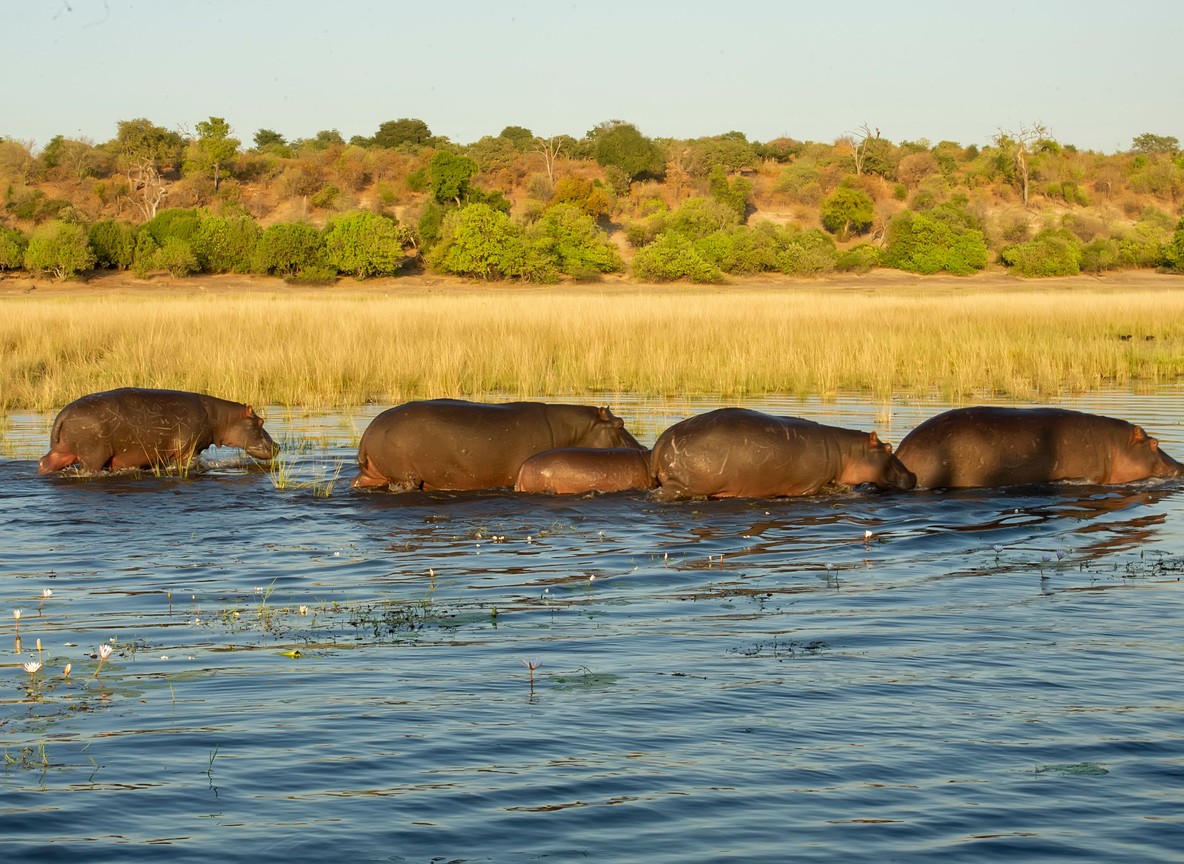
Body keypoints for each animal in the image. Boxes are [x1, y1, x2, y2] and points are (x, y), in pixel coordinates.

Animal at [38, 388, 280, 475]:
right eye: (260, 422)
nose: (277, 446)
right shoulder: (188, 451)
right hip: (93, 455)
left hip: (63, 452)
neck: (222, 418)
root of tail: (62, 414)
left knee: (44, 462)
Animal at [650, 407, 915, 499]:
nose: (913, 475)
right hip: (683, 485)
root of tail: (660, 442)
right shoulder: (811, 485)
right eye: (888, 447)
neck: (847, 452)